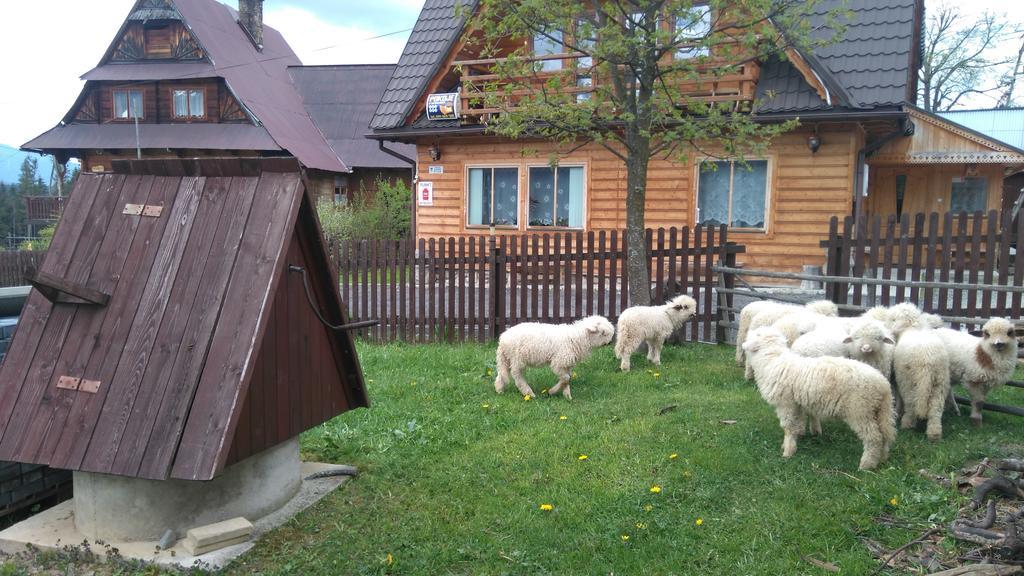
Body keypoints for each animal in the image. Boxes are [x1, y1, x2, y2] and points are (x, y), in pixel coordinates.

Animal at [741, 325, 892, 469]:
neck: (772, 361)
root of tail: (883, 385)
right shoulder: (797, 404)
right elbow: (797, 423)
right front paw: (795, 440)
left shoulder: (786, 404)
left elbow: (788, 427)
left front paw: (788, 451)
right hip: (879, 411)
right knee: (885, 435)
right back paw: (882, 459)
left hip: (860, 410)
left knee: (874, 438)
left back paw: (866, 465)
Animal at [884, 301, 946, 438]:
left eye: (892, 319)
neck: (912, 327)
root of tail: (927, 360)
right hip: (939, 382)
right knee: (936, 408)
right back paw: (934, 434)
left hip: (908, 380)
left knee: (911, 403)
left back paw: (907, 424)